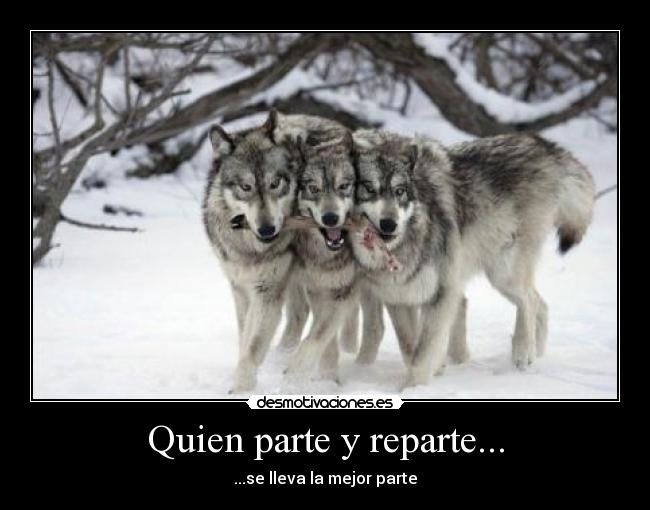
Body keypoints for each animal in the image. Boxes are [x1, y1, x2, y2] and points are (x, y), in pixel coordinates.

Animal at [202, 110, 302, 393]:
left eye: (275, 183)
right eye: (245, 187)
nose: (267, 229)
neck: (251, 251)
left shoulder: (267, 291)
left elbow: (253, 345)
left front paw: (242, 387)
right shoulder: (240, 288)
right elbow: (244, 335)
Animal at [350, 131, 595, 388]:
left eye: (400, 191)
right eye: (369, 189)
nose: (390, 224)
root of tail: (544, 145)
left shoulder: (443, 293)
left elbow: (423, 352)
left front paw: (413, 388)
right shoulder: (398, 297)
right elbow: (410, 346)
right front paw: (430, 372)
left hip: (503, 273)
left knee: (528, 300)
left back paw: (522, 352)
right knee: (541, 304)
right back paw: (536, 354)